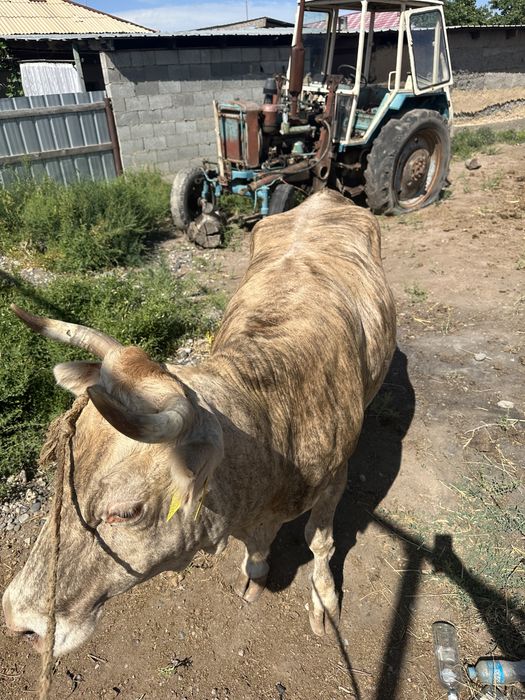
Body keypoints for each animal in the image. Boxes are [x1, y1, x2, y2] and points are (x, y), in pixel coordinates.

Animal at [3, 189, 396, 657]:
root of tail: (322, 195)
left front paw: (323, 599)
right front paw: (256, 571)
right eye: (61, 475)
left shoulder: (336, 478)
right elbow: (257, 545)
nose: (18, 621)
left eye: (126, 512)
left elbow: (320, 541)